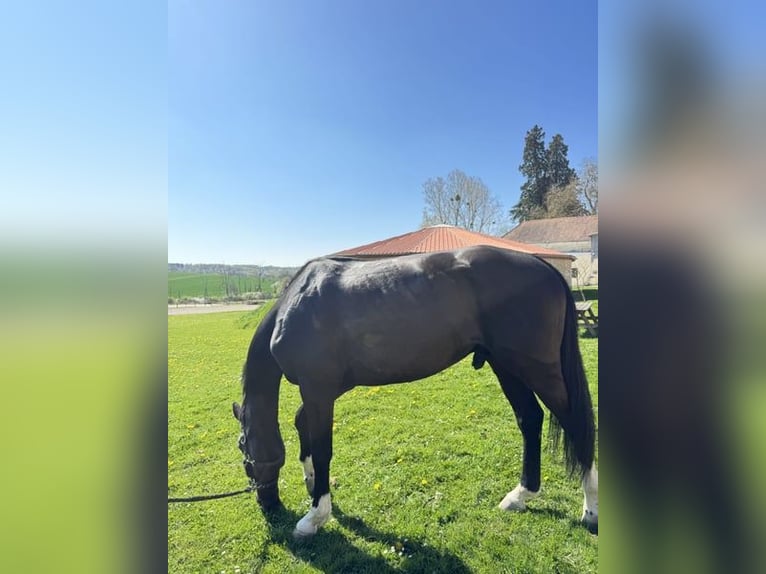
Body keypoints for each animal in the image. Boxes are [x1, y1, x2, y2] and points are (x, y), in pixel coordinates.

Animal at [232, 245, 598, 538]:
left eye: (242, 449)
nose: (268, 505)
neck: (297, 304)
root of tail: (544, 266)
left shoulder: (318, 389)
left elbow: (322, 449)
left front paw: (314, 517)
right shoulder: (325, 391)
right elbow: (301, 425)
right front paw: (312, 485)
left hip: (538, 369)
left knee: (576, 424)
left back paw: (590, 510)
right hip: (506, 365)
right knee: (530, 419)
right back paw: (520, 495)